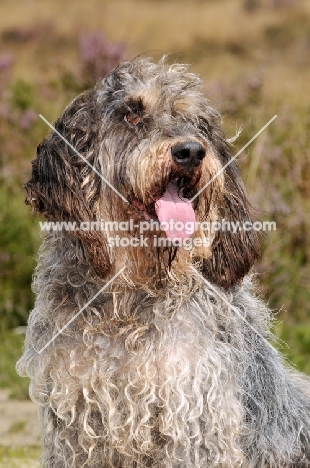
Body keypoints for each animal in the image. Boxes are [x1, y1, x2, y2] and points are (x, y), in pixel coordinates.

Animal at [16, 58, 310, 468]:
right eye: (131, 114)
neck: (129, 299)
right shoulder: (76, 425)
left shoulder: (194, 420)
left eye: (197, 123)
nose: (190, 152)